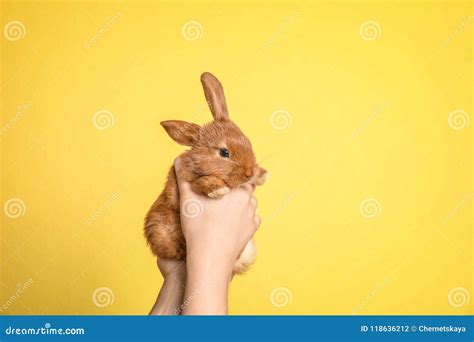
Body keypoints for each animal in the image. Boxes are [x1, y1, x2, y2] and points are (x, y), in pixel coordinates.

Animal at [144, 73, 266, 276]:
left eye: (248, 142)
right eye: (224, 152)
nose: (248, 172)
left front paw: (261, 174)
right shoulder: (187, 181)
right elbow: (203, 182)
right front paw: (218, 190)